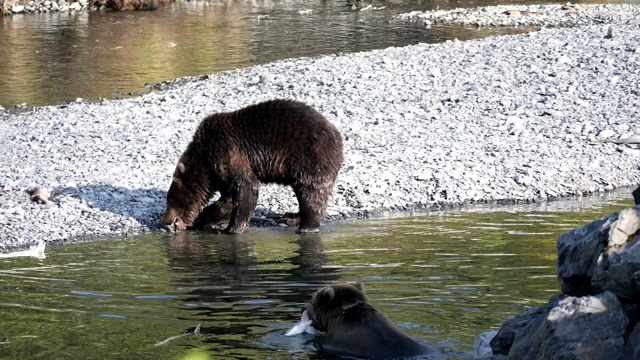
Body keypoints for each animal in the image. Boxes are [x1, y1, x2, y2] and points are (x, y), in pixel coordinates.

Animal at [162, 99, 342, 233]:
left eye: (170, 199)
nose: (166, 220)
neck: (205, 162)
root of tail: (337, 134)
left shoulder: (226, 152)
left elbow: (246, 187)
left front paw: (232, 228)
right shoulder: (219, 174)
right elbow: (227, 199)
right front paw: (198, 219)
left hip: (310, 158)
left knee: (311, 193)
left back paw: (306, 227)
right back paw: (291, 217)